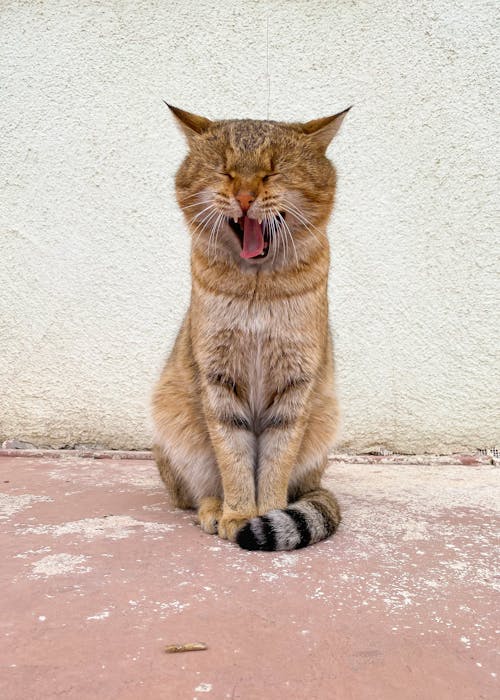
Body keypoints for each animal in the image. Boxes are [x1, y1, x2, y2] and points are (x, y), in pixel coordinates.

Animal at [150, 105, 350, 552]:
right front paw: (239, 513)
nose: (244, 197)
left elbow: (276, 461)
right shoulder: (218, 379)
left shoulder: (296, 383)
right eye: (224, 170)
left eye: (272, 172)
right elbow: (233, 457)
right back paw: (214, 508)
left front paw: (266, 511)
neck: (257, 286)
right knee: (197, 492)